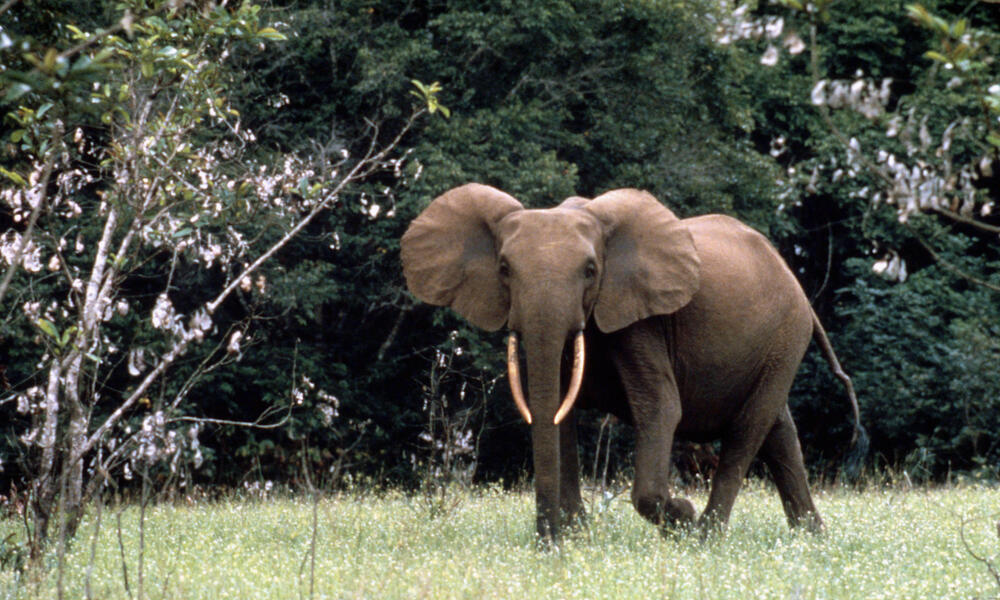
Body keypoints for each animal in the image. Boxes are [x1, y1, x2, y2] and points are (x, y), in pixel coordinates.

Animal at [400, 183, 868, 540]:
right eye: (503, 269)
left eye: (591, 270)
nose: (545, 544)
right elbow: (556, 410)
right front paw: (575, 537)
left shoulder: (640, 321)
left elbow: (660, 407)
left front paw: (680, 515)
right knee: (779, 432)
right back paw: (813, 539)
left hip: (786, 336)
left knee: (748, 430)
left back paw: (706, 537)